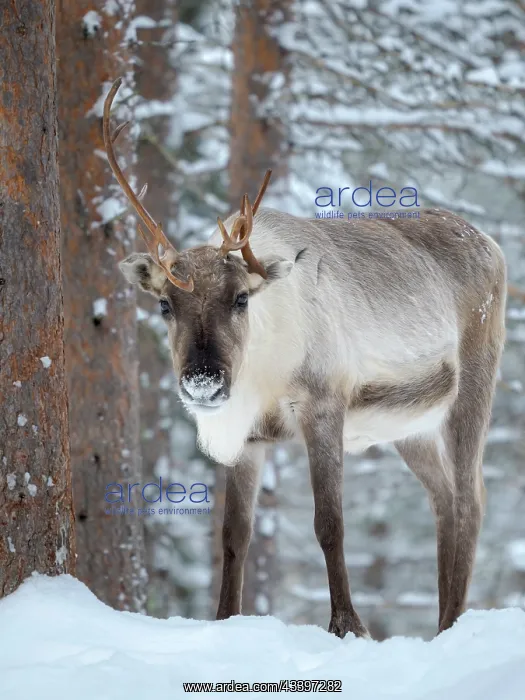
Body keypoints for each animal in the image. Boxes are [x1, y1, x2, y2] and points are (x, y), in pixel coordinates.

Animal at [104, 78, 506, 639]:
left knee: (472, 499)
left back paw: (452, 623)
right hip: (411, 428)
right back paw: (443, 621)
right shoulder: (250, 438)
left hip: (473, 387)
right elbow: (234, 534)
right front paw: (225, 618)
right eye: (164, 304)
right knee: (443, 499)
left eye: (240, 298)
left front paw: (348, 624)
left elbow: (329, 522)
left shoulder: (323, 406)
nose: (204, 381)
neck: (263, 374)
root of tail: (493, 244)